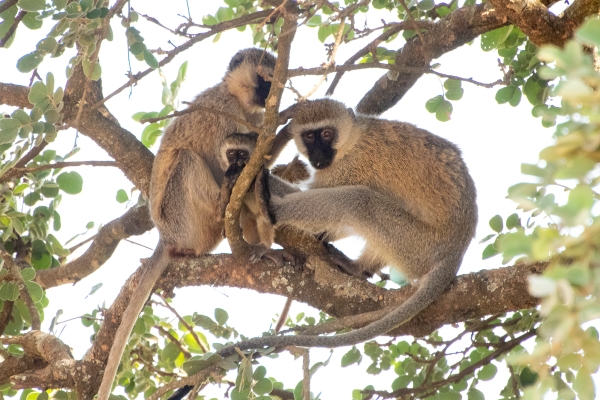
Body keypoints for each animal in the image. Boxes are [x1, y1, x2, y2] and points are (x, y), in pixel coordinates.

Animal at [97, 47, 278, 400]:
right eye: (263, 80)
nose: (270, 95)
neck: (238, 99)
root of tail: (166, 236)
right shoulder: (223, 112)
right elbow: (231, 157)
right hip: (182, 217)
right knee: (187, 159)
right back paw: (223, 205)